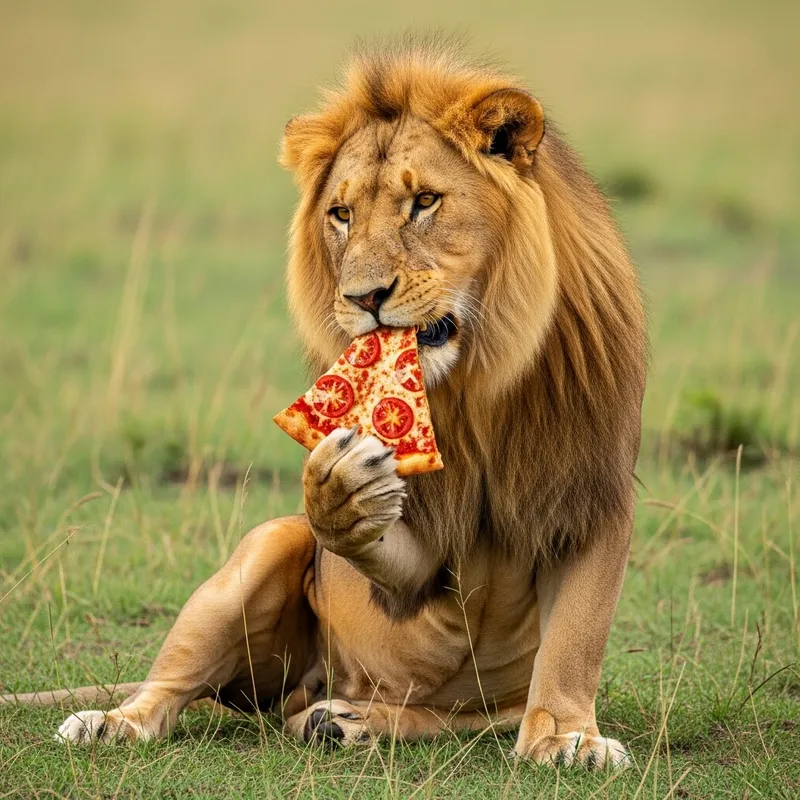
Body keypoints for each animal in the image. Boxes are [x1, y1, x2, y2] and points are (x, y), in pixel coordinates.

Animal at [3, 39, 647, 768]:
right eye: (341, 215)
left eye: (424, 201)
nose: (365, 297)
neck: (479, 382)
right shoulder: (422, 551)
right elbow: (389, 548)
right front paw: (337, 491)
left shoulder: (590, 492)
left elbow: (576, 636)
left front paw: (567, 736)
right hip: (264, 549)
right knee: (167, 686)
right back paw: (111, 723)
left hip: (452, 709)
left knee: (406, 715)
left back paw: (343, 722)